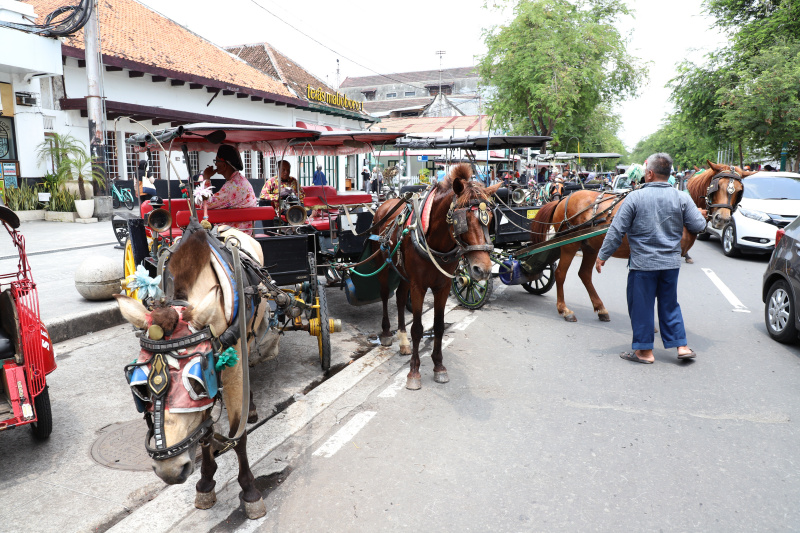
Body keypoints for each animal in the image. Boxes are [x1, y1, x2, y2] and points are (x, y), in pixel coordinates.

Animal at [114, 225, 274, 520]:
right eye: (139, 388)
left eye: (197, 383)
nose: (170, 470)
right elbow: (204, 433)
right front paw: (206, 482)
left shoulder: (232, 368)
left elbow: (238, 435)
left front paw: (249, 490)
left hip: (248, 336)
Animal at [376, 162, 500, 386]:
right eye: (463, 220)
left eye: (491, 219)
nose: (483, 269)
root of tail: (386, 203)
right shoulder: (418, 286)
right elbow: (418, 328)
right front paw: (414, 372)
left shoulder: (442, 286)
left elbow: (439, 326)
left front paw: (439, 366)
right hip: (384, 265)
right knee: (384, 295)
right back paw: (387, 333)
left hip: (404, 274)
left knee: (400, 298)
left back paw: (403, 340)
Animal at [528, 161, 752, 320]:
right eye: (717, 186)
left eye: (739, 190)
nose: (722, 219)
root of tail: (563, 199)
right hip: (569, 245)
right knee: (560, 273)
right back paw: (564, 309)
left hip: (590, 246)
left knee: (584, 275)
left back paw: (600, 308)